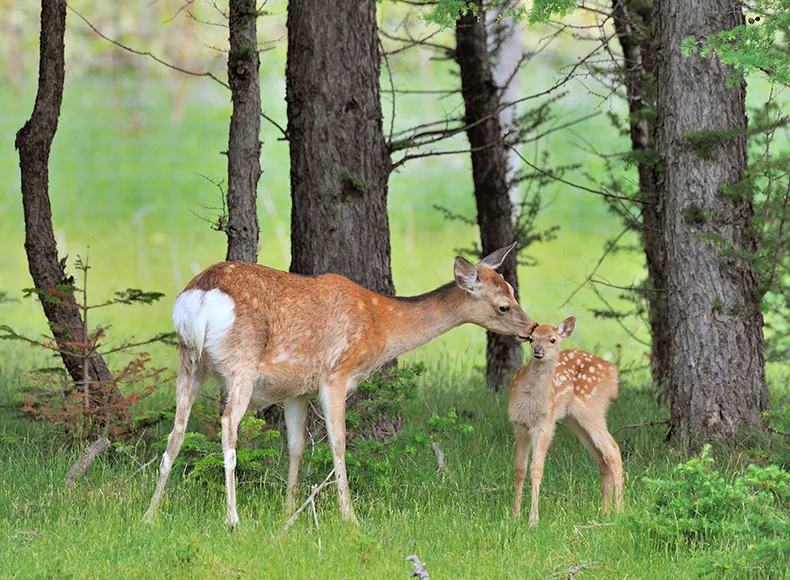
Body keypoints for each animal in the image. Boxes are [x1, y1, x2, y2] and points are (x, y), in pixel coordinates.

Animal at [144, 242, 540, 528]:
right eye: (504, 305)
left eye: (513, 291)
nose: (532, 328)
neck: (379, 326)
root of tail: (200, 296)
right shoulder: (336, 374)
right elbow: (338, 443)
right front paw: (349, 515)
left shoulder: (296, 390)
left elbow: (296, 446)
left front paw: (288, 510)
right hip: (240, 362)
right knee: (227, 426)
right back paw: (232, 519)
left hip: (189, 360)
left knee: (177, 430)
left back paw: (150, 514)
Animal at [512, 318, 624, 524]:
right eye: (531, 338)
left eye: (552, 339)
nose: (538, 350)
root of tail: (612, 374)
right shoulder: (519, 424)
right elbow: (519, 468)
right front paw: (514, 515)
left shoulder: (546, 424)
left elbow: (536, 467)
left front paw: (533, 520)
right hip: (576, 421)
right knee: (602, 457)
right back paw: (605, 512)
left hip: (592, 409)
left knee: (612, 450)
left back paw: (619, 511)